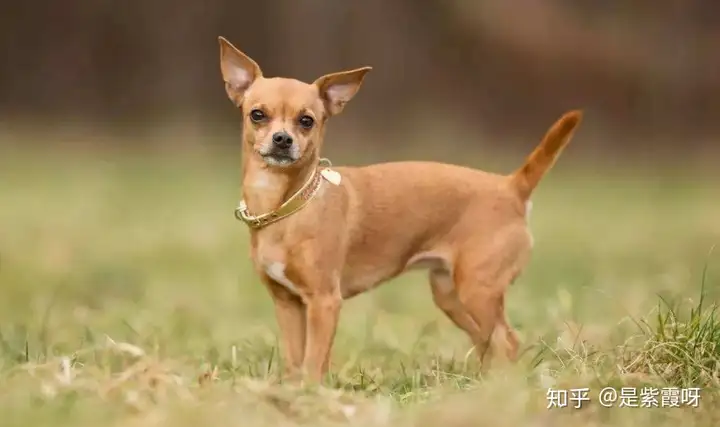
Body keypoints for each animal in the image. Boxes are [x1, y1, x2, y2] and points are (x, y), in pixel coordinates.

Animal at [217, 36, 584, 382]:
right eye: (257, 115)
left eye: (307, 121)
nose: (283, 139)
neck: (286, 206)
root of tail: (511, 187)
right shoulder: (288, 304)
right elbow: (295, 363)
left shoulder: (324, 302)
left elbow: (313, 364)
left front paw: (311, 393)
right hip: (452, 296)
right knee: (488, 342)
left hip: (478, 291)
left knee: (507, 341)